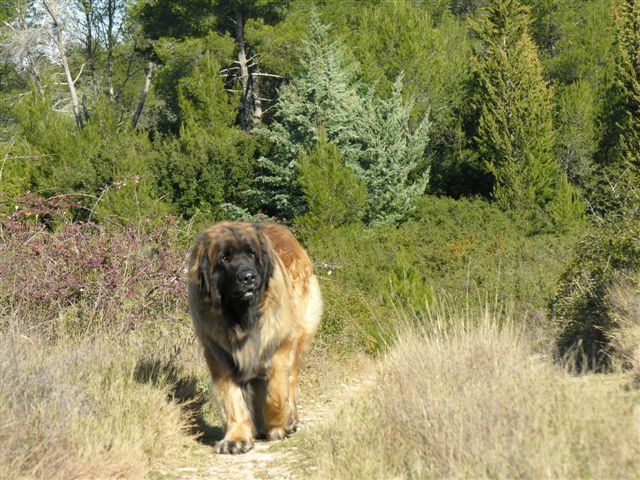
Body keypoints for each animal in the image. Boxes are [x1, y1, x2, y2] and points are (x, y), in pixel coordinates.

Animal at [187, 222, 322, 454]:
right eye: (224, 258)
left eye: (251, 254)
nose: (248, 277)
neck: (241, 319)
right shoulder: (220, 357)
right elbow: (232, 400)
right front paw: (236, 438)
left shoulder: (279, 347)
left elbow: (276, 394)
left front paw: (278, 425)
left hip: (300, 336)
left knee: (290, 382)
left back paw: (288, 420)